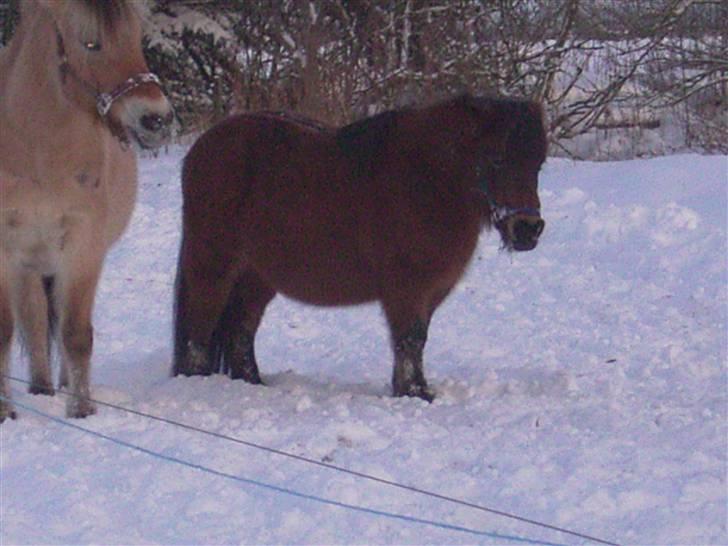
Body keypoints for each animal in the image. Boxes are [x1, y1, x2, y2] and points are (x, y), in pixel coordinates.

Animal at [0, 0, 173, 421]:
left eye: (134, 36)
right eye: (91, 43)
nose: (156, 118)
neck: (38, 151)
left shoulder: (83, 246)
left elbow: (76, 332)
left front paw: (82, 408)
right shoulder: (5, 250)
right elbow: (5, 330)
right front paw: (5, 412)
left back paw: (59, 388)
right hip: (27, 263)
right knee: (33, 319)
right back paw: (41, 389)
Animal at [173, 94, 546, 402]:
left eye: (539, 163)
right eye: (496, 159)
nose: (528, 229)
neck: (428, 182)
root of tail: (201, 149)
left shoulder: (430, 292)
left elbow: (416, 340)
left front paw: (414, 390)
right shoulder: (406, 289)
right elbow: (410, 339)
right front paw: (414, 394)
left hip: (257, 277)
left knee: (241, 330)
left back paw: (253, 382)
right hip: (213, 265)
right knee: (201, 327)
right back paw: (198, 380)